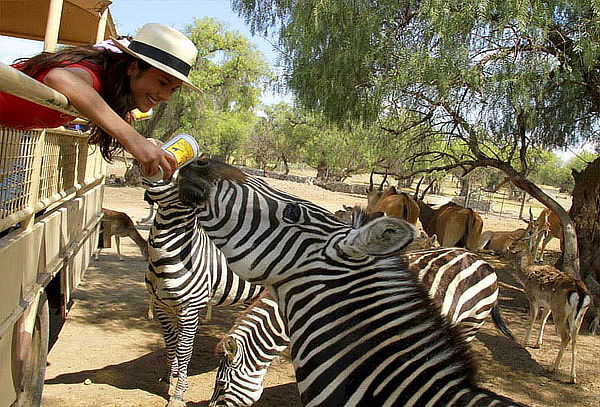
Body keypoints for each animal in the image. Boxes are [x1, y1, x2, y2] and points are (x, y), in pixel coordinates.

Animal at [144, 182, 264, 407]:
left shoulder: (189, 310)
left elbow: (184, 350)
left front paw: (178, 394)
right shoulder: (162, 307)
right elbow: (170, 343)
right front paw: (169, 376)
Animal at [508, 239, 592, 382]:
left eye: (516, 244)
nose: (508, 248)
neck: (527, 275)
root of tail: (580, 293)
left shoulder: (533, 298)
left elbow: (532, 319)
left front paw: (524, 342)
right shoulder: (547, 305)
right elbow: (543, 320)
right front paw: (538, 343)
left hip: (560, 311)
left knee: (566, 337)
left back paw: (552, 368)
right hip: (578, 316)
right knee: (575, 340)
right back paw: (573, 377)